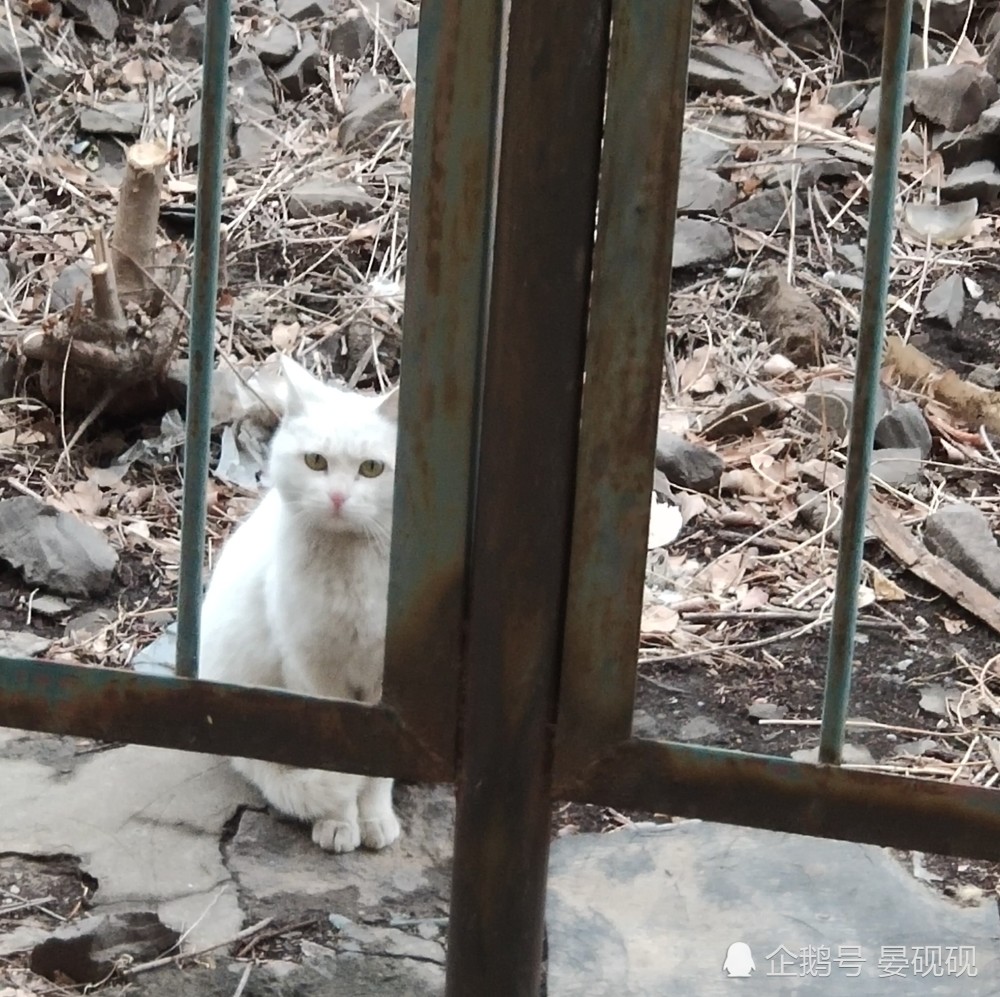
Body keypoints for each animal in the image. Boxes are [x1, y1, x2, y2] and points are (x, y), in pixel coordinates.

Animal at [199, 354, 402, 852]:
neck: (349, 570)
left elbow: (380, 768)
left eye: (372, 469)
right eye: (316, 462)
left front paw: (374, 817)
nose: (338, 497)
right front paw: (340, 822)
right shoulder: (311, 670)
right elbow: (338, 759)